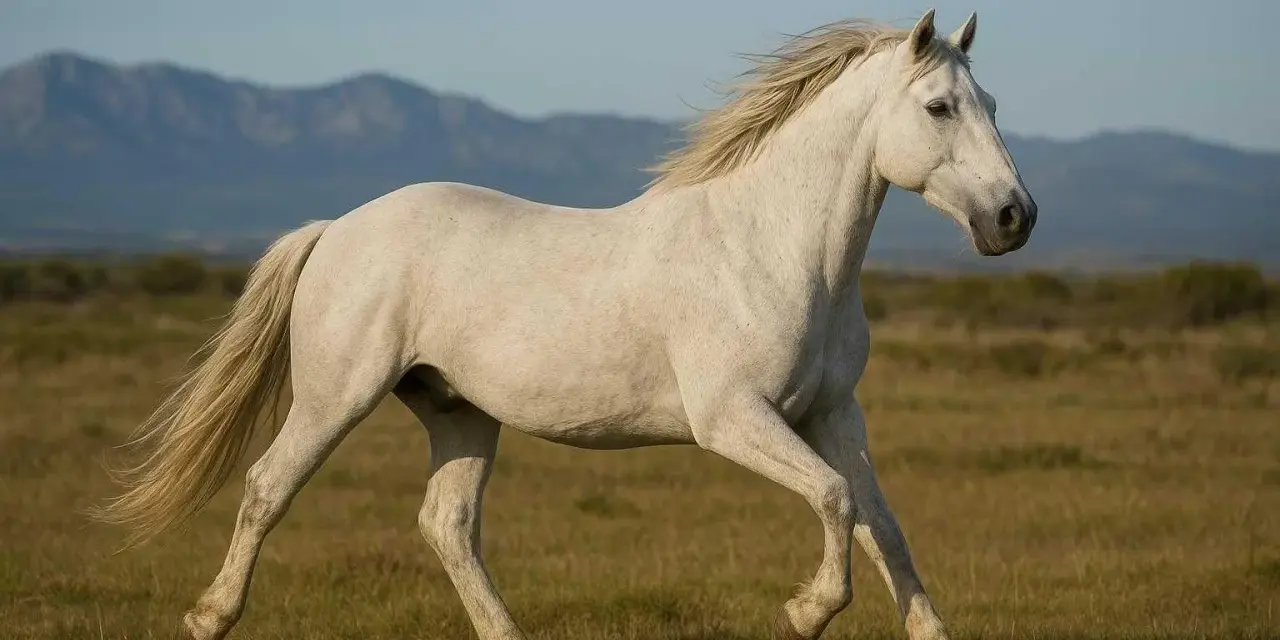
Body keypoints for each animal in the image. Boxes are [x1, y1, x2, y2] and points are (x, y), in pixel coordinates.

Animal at [93, 9, 1036, 640]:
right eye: (940, 107)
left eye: (993, 101)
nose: (1013, 218)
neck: (773, 247)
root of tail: (337, 229)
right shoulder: (733, 418)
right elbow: (837, 501)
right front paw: (804, 611)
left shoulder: (834, 414)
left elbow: (882, 526)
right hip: (336, 397)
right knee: (267, 487)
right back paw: (208, 616)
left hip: (459, 412)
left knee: (447, 525)